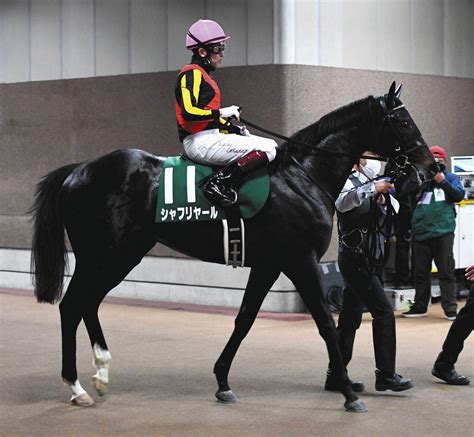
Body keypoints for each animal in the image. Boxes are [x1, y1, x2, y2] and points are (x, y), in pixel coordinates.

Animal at [29, 82, 436, 412]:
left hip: (115, 257)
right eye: (403, 122)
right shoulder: (300, 261)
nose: (428, 168)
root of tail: (79, 169)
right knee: (73, 305)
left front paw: (222, 381)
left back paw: (99, 374)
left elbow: (244, 319)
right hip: (108, 255)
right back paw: (77, 386)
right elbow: (325, 323)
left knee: (87, 304)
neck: (301, 176)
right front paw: (348, 393)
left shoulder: (270, 264)